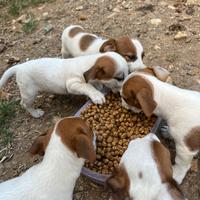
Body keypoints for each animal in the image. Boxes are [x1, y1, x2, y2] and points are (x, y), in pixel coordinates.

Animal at [0, 51, 128, 118]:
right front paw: (96, 95)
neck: (89, 63)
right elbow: (88, 86)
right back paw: (36, 113)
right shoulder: (73, 84)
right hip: (29, 93)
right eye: (119, 78)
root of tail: (19, 67)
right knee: (24, 104)